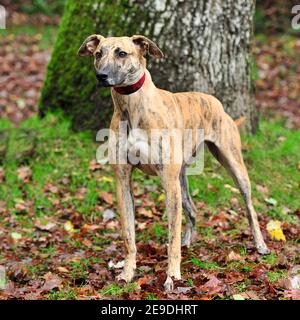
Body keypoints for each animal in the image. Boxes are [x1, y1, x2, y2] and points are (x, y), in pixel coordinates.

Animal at [77, 33, 270, 292]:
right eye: (98, 53)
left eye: (122, 53)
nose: (101, 76)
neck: (132, 106)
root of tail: (214, 100)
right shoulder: (123, 182)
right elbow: (129, 235)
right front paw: (127, 272)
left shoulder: (168, 182)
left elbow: (172, 239)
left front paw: (172, 277)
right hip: (181, 178)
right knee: (192, 209)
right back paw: (189, 241)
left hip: (232, 164)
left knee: (249, 207)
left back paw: (260, 244)